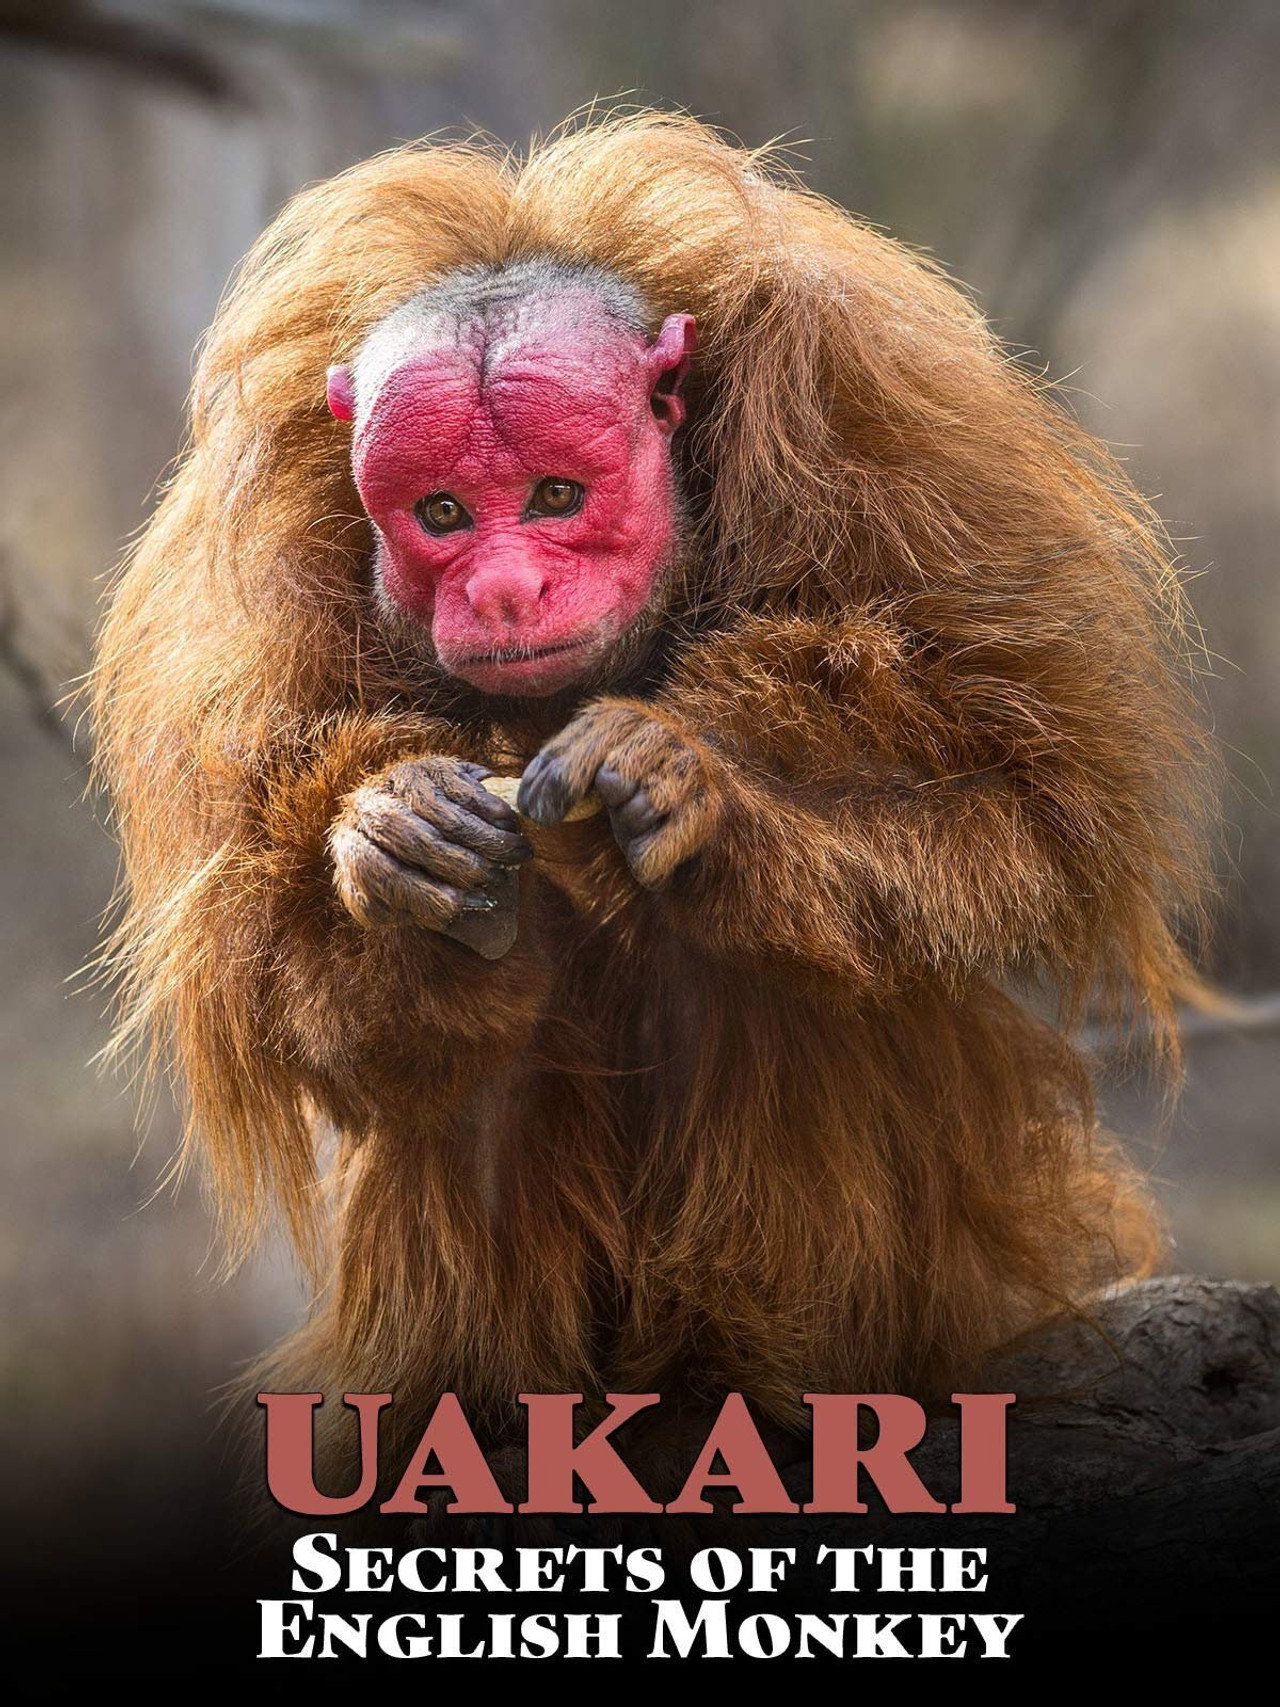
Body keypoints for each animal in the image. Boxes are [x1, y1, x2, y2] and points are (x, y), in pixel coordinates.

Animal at [91, 114, 1213, 1448]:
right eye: (442, 513)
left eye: (556, 498)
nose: (502, 592)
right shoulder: (259, 571)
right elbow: (268, 962)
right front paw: (391, 843)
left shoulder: (874, 427)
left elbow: (1029, 791)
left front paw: (695, 787)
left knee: (757, 963)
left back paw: (759, 1385)